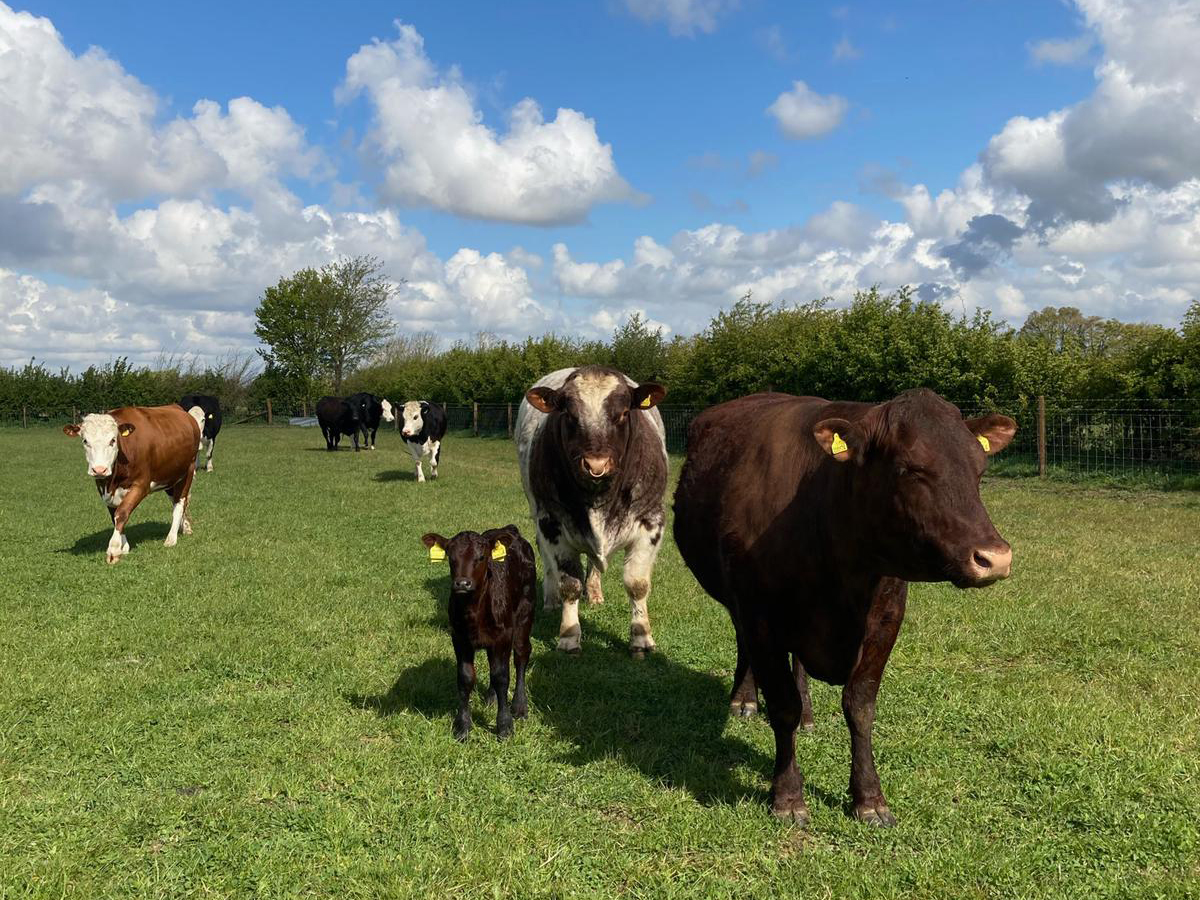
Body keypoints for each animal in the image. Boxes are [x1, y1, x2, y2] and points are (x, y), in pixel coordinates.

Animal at [63, 404, 205, 564]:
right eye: (85, 441)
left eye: (113, 440)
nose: (99, 469)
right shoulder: (103, 489)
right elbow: (114, 516)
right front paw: (123, 546)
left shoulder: (141, 485)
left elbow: (122, 512)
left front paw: (114, 549)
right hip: (169, 476)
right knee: (178, 500)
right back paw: (185, 527)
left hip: (188, 471)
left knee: (180, 502)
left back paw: (171, 538)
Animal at [421, 525, 536, 742]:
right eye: (451, 557)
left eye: (481, 557)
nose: (462, 583)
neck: (474, 610)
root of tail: (508, 530)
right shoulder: (459, 638)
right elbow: (466, 678)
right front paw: (463, 726)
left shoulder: (503, 636)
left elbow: (502, 677)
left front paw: (505, 726)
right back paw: (491, 698)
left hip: (526, 611)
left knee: (521, 655)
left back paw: (519, 705)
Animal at [516, 366, 668, 657]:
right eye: (568, 414)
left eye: (624, 413)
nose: (596, 464)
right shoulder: (552, 522)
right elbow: (569, 584)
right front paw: (568, 635)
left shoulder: (651, 521)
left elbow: (637, 584)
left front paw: (641, 637)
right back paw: (551, 599)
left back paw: (595, 593)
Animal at [673, 388, 1016, 827]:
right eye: (908, 469)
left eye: (979, 469)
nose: (995, 557)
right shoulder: (758, 615)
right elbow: (781, 705)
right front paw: (787, 796)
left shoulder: (885, 621)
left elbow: (860, 707)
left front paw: (869, 798)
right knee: (744, 644)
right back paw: (744, 699)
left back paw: (807, 714)